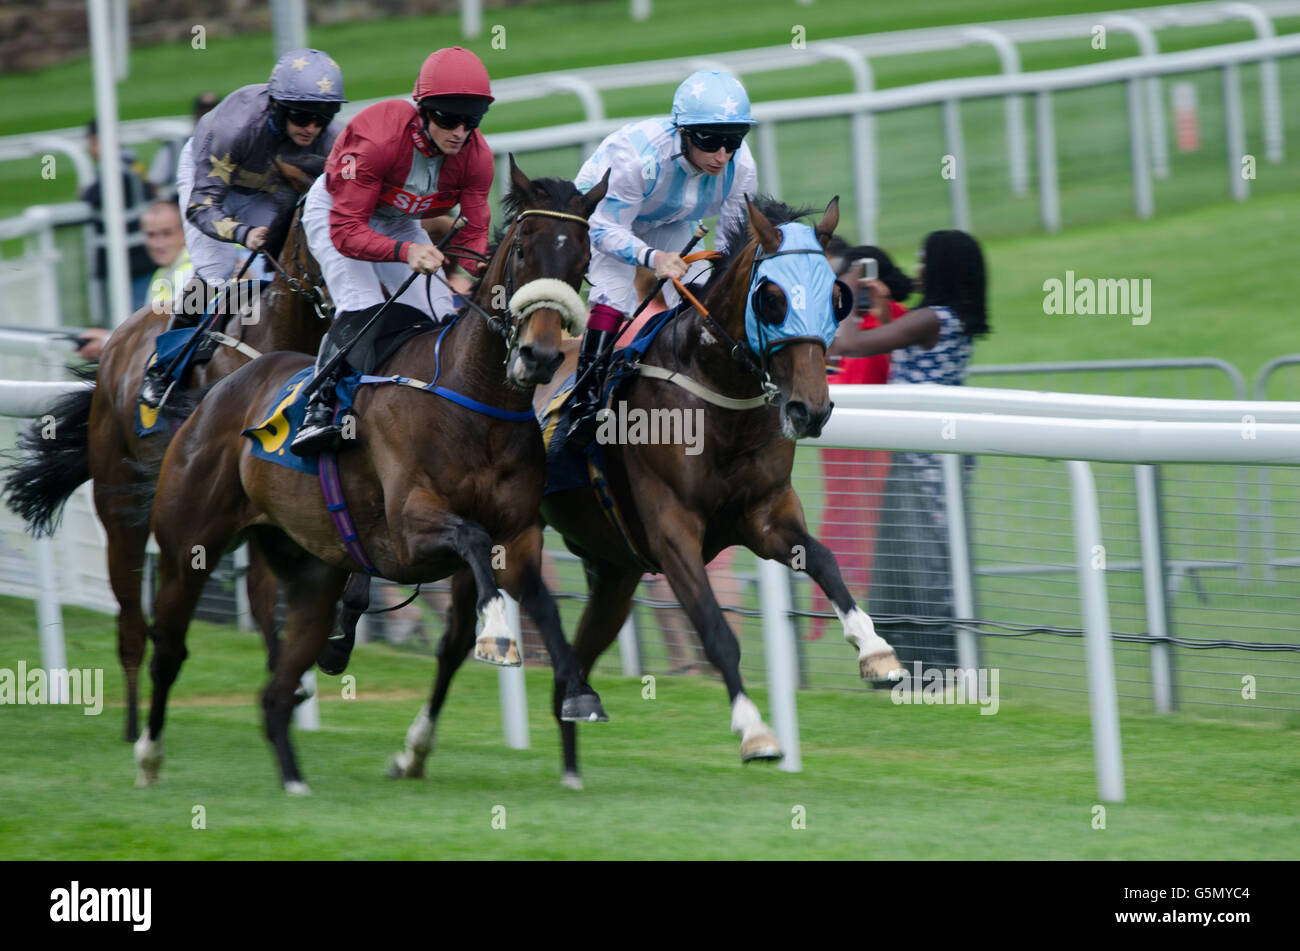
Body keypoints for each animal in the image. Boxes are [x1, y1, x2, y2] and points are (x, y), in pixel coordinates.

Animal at [6, 163, 330, 743]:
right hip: (120, 506)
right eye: (317, 225)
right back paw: (136, 724)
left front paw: (293, 675)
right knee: (130, 620)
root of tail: (117, 340)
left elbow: (268, 593)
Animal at [137, 157, 613, 795]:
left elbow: (543, 604)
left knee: (276, 686)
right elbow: (470, 539)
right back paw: (148, 756)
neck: (473, 401)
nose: (538, 357)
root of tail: (218, 388)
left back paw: (294, 777)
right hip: (187, 543)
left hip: (311, 571)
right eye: (521, 250)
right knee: (169, 646)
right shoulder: (409, 530)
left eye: (582, 259)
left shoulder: (520, 534)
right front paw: (495, 633)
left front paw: (578, 694)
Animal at [517, 197, 904, 784]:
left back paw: (572, 762)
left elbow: (825, 560)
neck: (719, 399)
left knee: (572, 668)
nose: (809, 411)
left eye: (838, 298)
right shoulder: (671, 531)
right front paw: (756, 732)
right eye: (772, 299)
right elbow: (716, 630)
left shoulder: (766, 514)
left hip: (614, 571)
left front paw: (876, 651)